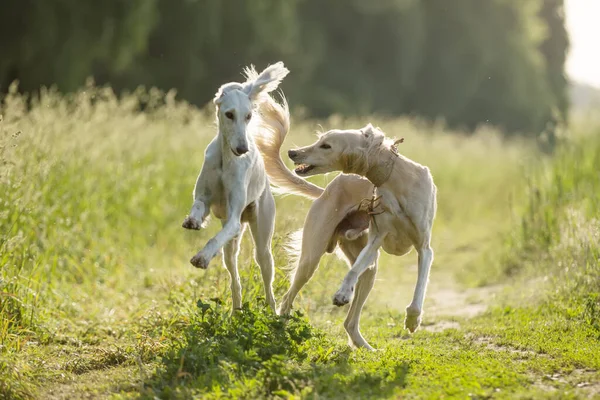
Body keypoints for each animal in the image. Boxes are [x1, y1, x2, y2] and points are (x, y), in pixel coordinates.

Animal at [182, 61, 290, 312]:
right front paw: (193, 221)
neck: (225, 159)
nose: (243, 149)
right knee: (235, 281)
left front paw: (201, 257)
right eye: (229, 114)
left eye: (249, 116)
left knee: (268, 285)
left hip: (262, 244)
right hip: (231, 250)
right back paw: (235, 311)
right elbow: (198, 206)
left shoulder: (232, 220)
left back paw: (273, 313)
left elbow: (214, 239)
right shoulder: (205, 199)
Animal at [256, 106, 436, 350]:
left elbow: (419, 289)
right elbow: (352, 271)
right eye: (319, 140)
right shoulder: (376, 238)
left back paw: (366, 348)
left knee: (350, 321)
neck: (395, 179)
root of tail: (325, 191)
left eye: (326, 145)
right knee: (288, 299)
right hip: (311, 259)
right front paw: (342, 293)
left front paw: (412, 320)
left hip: (370, 268)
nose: (292, 152)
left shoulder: (424, 248)